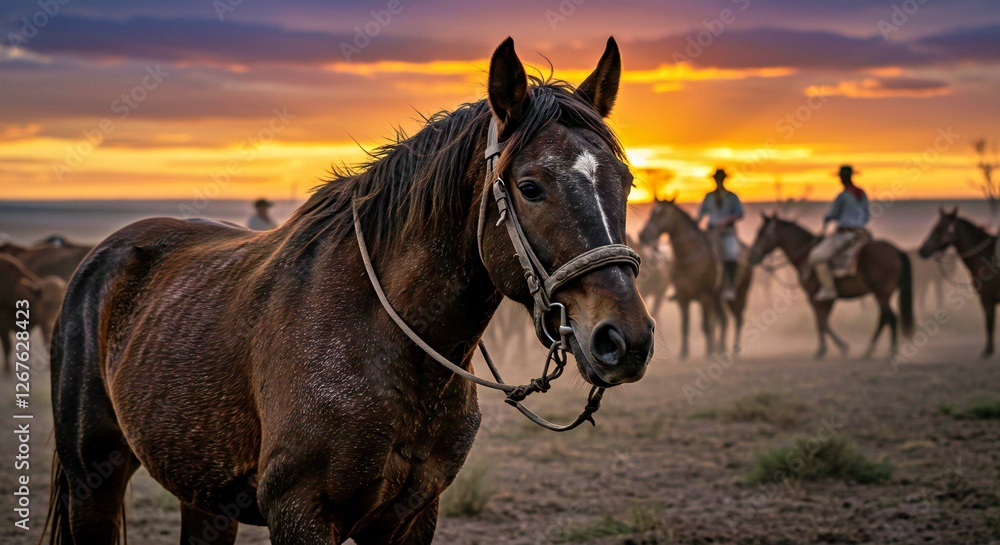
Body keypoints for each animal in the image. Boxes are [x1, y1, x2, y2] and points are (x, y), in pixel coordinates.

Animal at [45, 37, 655, 544]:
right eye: (530, 187)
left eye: (625, 182)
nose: (625, 340)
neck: (389, 342)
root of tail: (101, 259)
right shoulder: (300, 513)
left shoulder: (410, 519)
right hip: (93, 478)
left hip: (203, 493)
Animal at [638, 198, 752, 358]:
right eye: (652, 212)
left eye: (662, 214)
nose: (642, 235)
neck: (690, 256)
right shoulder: (683, 298)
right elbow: (685, 326)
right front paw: (684, 353)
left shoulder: (705, 297)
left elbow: (706, 326)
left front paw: (709, 353)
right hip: (717, 299)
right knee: (723, 320)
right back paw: (721, 348)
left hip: (739, 294)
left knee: (737, 319)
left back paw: (733, 349)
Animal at [749, 214, 914, 359]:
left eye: (761, 233)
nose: (752, 256)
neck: (806, 257)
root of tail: (897, 251)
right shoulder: (828, 300)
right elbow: (824, 322)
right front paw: (835, 347)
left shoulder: (814, 298)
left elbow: (821, 323)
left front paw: (828, 349)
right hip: (882, 293)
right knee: (883, 318)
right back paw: (868, 351)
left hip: (881, 293)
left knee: (891, 318)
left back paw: (891, 353)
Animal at [918, 208, 998, 357]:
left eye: (939, 228)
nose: (922, 250)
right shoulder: (985, 299)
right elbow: (989, 322)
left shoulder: (987, 298)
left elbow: (989, 322)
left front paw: (988, 351)